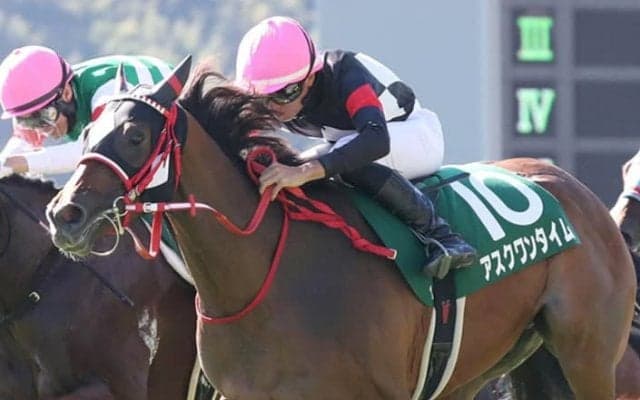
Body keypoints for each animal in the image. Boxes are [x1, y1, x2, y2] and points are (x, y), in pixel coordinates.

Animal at [45, 57, 636, 399]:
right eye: (87, 134)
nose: (64, 214)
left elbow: (371, 139)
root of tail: (572, 185)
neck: (265, 278)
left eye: (135, 136)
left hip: (588, 358)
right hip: (484, 370)